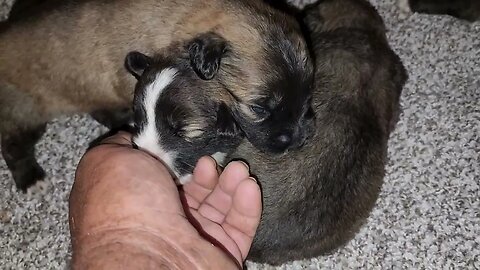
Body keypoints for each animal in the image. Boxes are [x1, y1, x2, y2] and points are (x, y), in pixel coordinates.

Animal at [0, 0, 314, 191]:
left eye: (307, 96)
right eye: (259, 108)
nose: (299, 139)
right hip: (24, 111)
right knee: (12, 144)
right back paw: (31, 179)